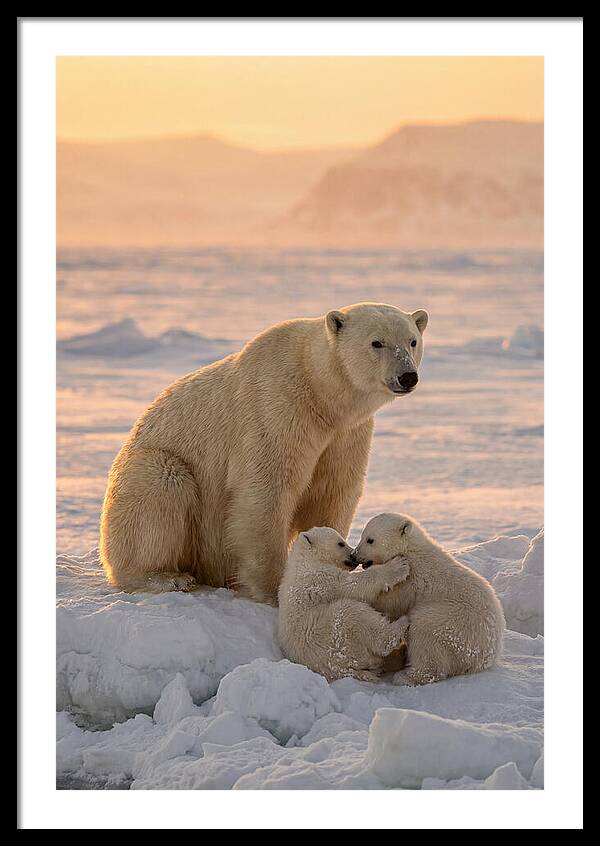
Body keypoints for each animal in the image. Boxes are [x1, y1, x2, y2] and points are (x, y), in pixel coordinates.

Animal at [99, 303, 428, 602]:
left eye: (412, 340)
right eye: (376, 342)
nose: (407, 376)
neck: (320, 393)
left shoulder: (346, 434)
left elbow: (332, 490)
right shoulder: (277, 408)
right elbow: (266, 490)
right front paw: (274, 588)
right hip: (151, 467)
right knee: (161, 487)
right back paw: (167, 577)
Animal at [277, 527, 412, 682]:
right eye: (340, 543)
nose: (353, 555)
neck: (305, 559)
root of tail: (341, 670)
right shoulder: (320, 578)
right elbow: (353, 585)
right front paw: (399, 565)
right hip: (333, 636)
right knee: (354, 615)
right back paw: (402, 623)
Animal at [353, 513, 505, 685]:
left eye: (370, 540)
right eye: (362, 535)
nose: (354, 555)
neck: (409, 549)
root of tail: (485, 658)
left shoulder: (410, 580)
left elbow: (390, 601)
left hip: (455, 625)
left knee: (424, 630)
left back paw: (405, 676)